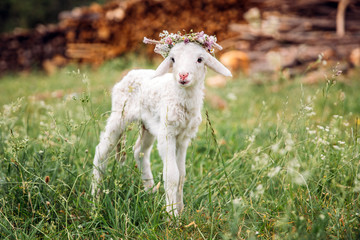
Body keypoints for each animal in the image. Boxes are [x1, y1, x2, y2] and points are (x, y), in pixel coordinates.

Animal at [91, 30, 232, 216]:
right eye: (172, 59)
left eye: (200, 59)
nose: (183, 76)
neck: (179, 95)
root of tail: (131, 73)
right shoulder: (167, 134)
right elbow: (171, 175)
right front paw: (172, 215)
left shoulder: (183, 138)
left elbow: (181, 175)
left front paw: (180, 209)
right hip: (119, 115)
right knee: (102, 150)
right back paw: (95, 198)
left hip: (148, 124)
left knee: (139, 151)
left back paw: (150, 191)